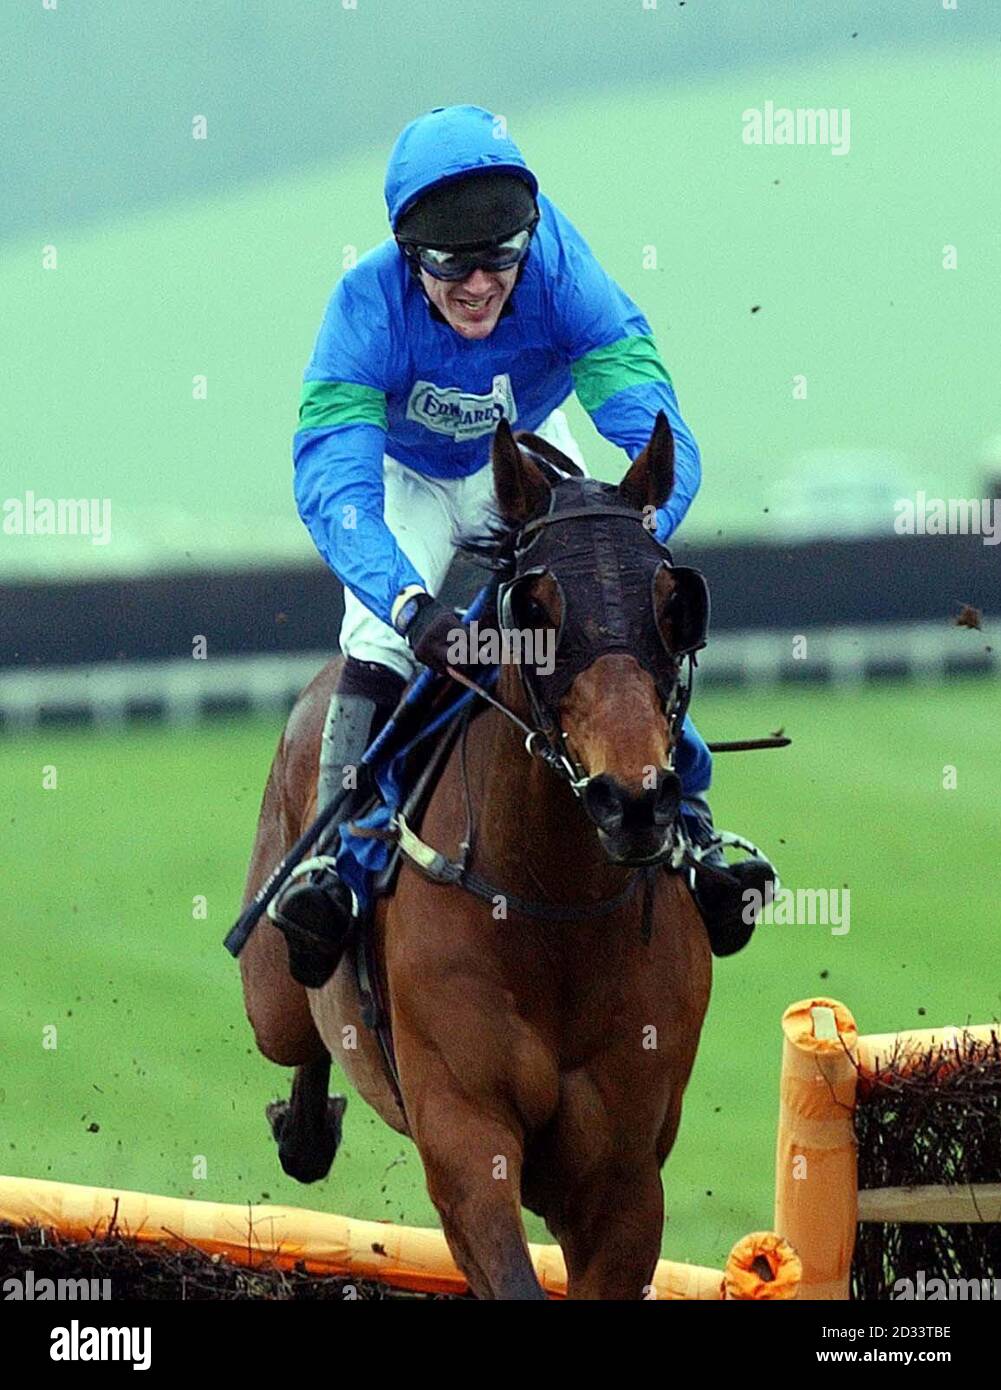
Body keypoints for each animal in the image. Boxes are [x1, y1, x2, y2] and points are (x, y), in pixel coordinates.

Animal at [239, 411, 711, 1301]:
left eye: (674, 602)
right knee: (299, 1029)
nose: (630, 801)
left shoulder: (624, 1179)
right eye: (534, 604)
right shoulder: (465, 1139)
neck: (554, 908)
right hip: (272, 996)